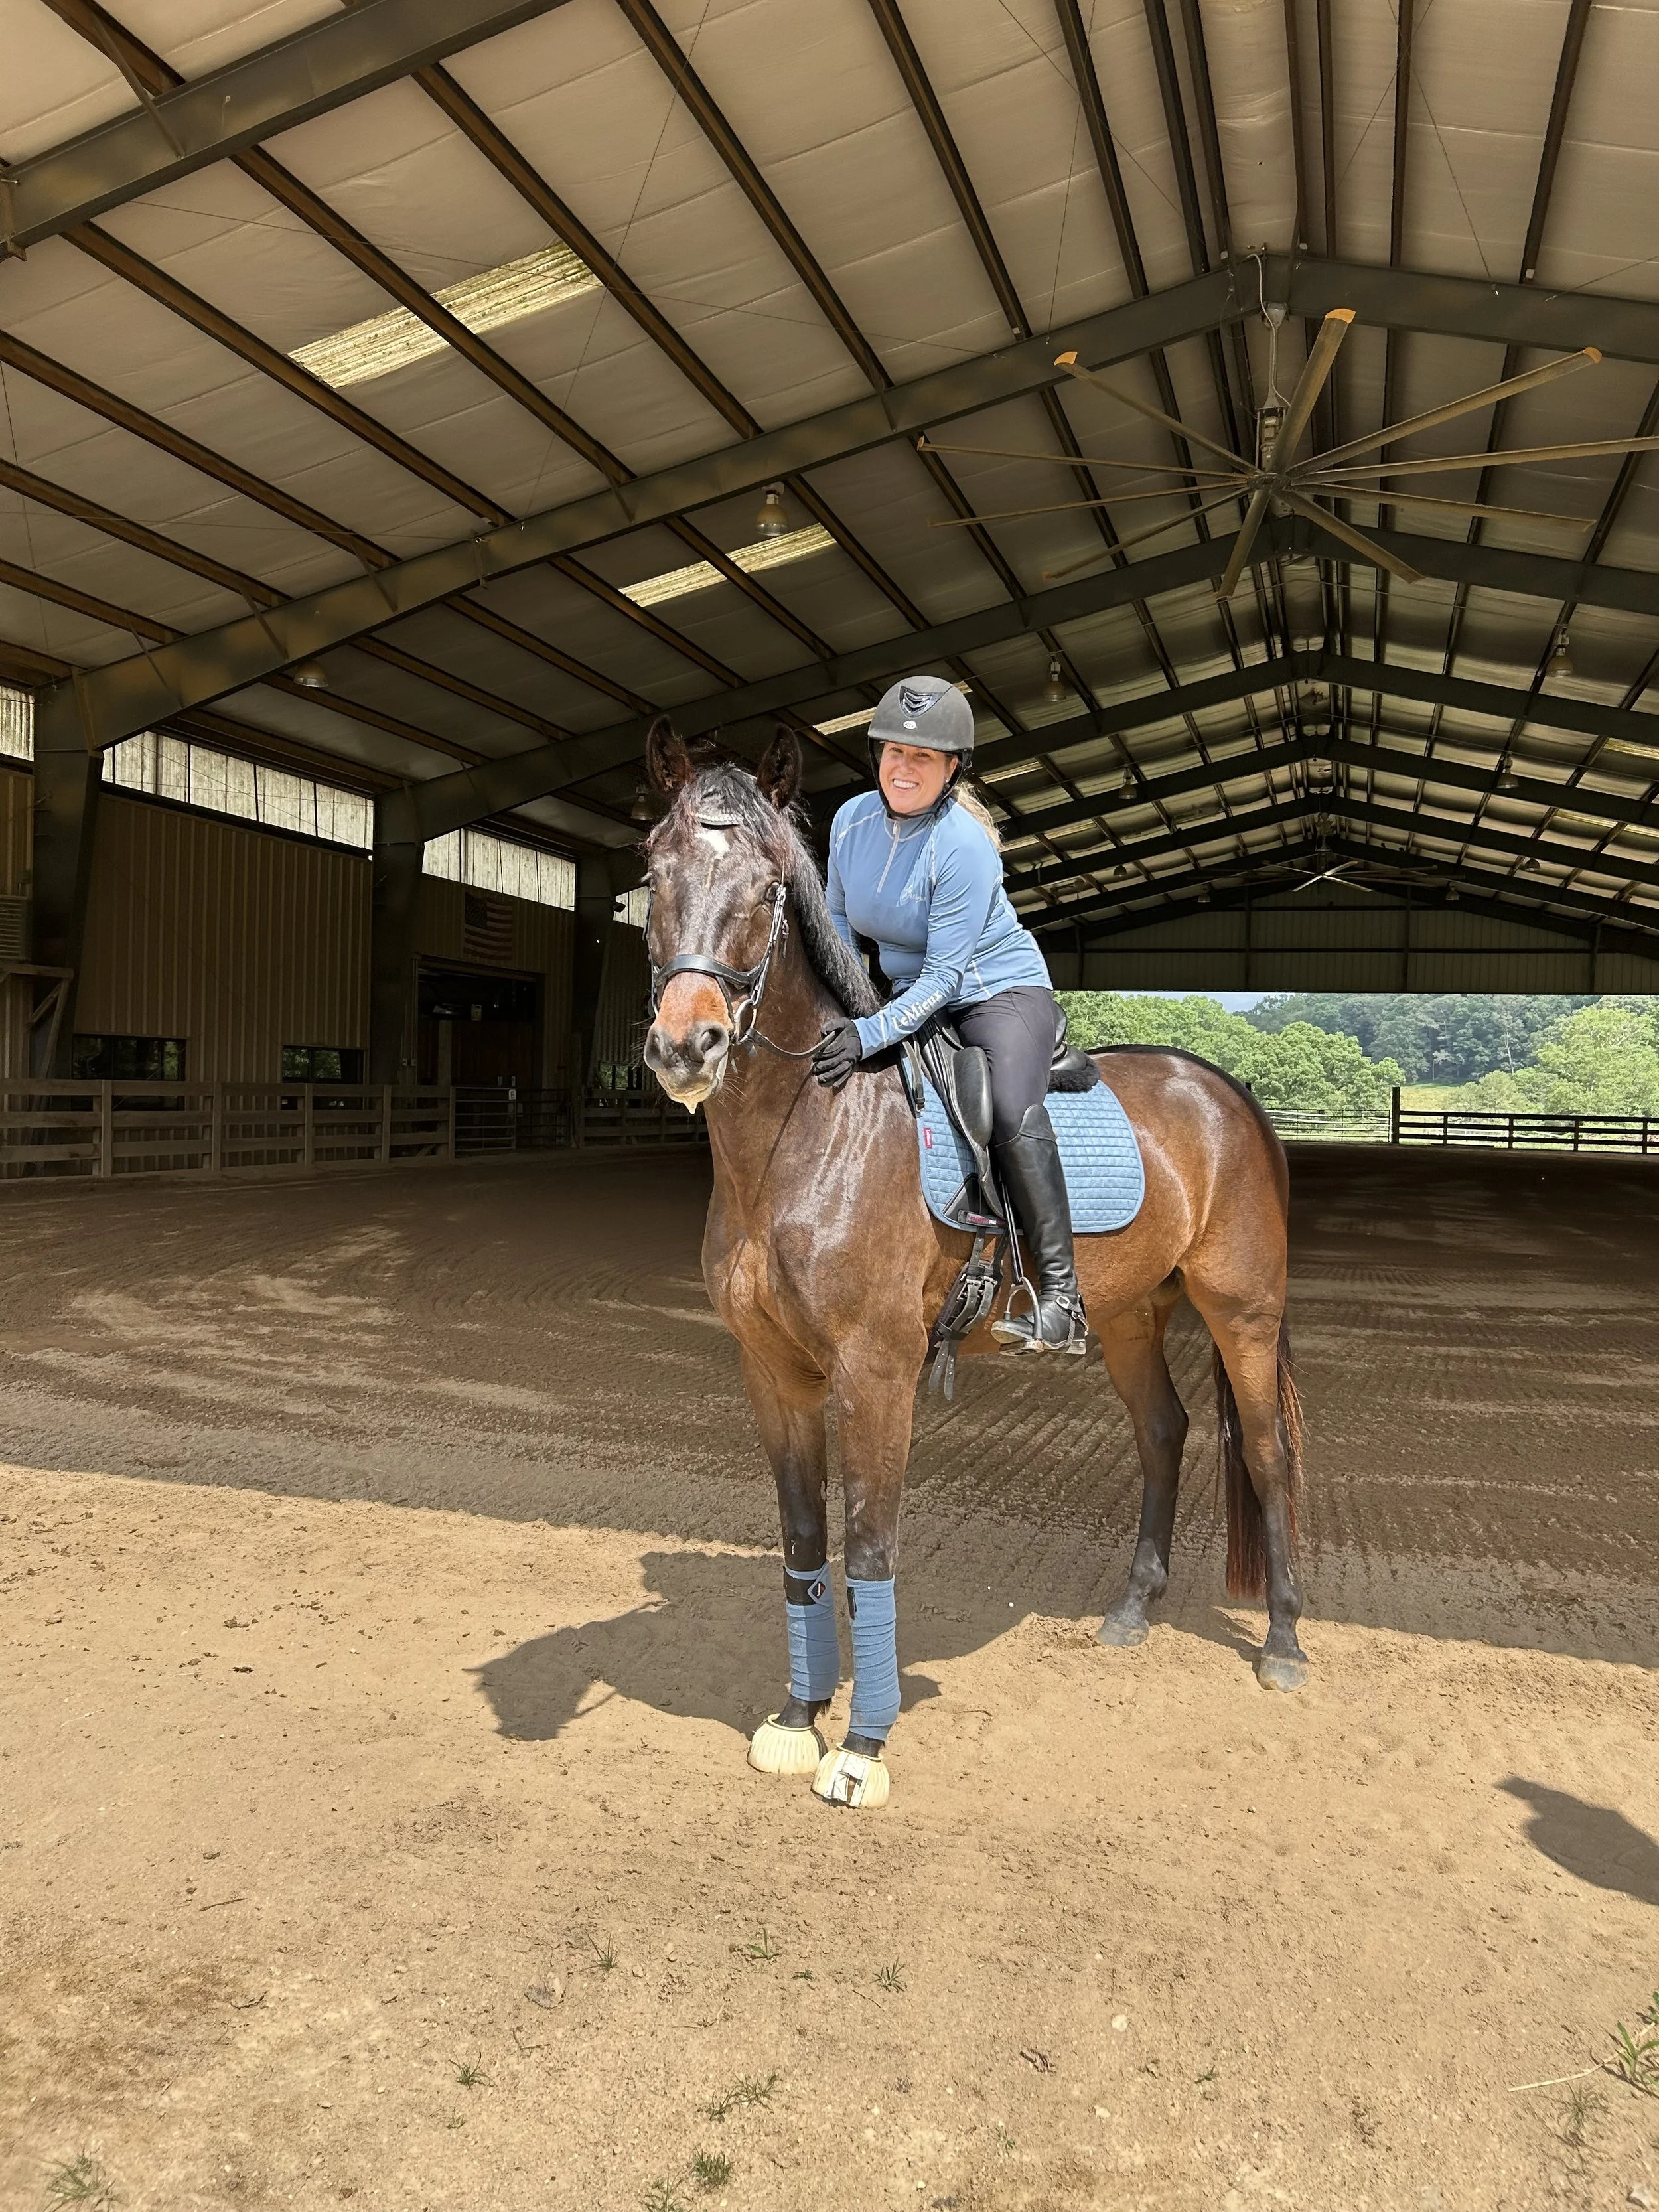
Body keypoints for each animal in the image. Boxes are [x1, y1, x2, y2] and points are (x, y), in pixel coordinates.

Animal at [640, 718, 1305, 1810]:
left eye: (770, 888)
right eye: (654, 872)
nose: (686, 1046)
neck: (805, 1137)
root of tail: (1227, 1091)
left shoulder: (877, 1372)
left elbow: (870, 1546)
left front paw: (861, 1748)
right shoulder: (772, 1372)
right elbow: (803, 1543)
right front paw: (796, 1718)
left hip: (1243, 1310)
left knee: (1263, 1451)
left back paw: (1285, 1644)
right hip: (1128, 1311)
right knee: (1162, 1432)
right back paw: (1133, 1610)